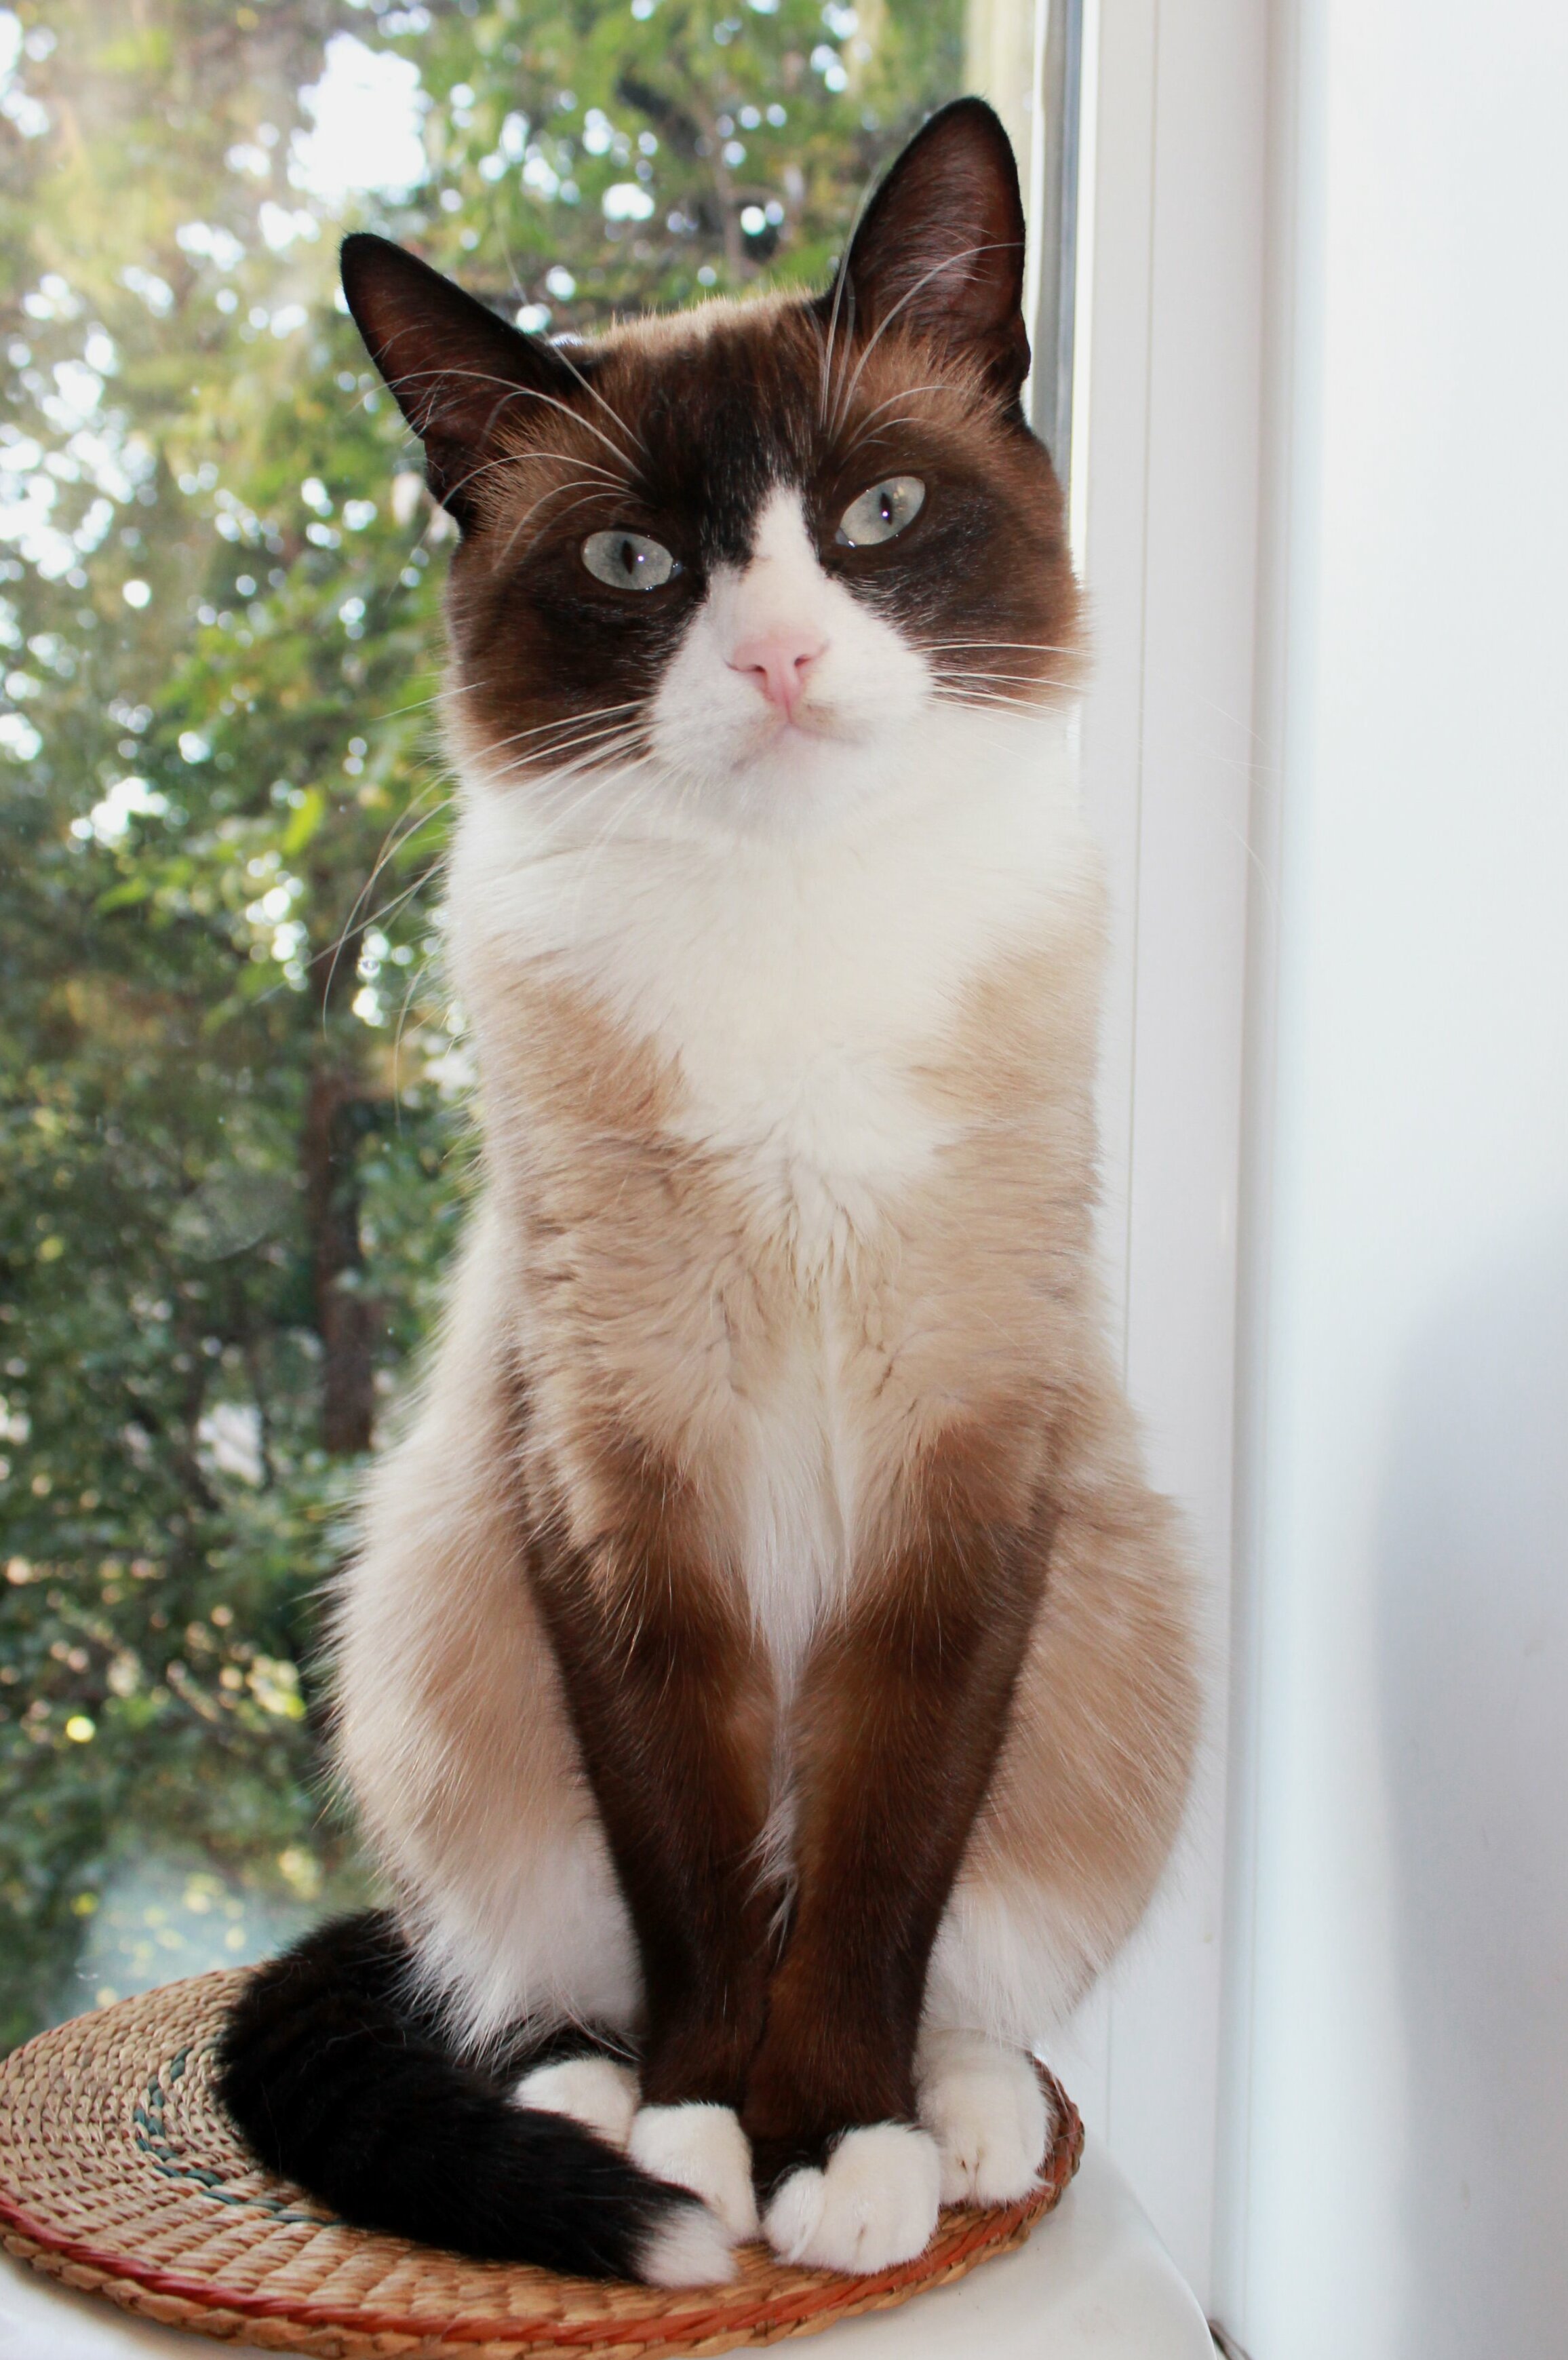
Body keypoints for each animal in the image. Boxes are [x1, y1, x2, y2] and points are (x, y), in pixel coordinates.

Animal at [214, 96, 1193, 2284]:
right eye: (634, 562)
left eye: (879, 511)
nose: (776, 656)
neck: (789, 931)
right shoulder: (610, 1474)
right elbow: (685, 1860)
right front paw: (708, 2131)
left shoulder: (966, 1472)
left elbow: (883, 1870)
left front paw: (836, 2145)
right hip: (435, 1613)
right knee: (514, 1975)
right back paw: (606, 2110)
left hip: (1113, 1611)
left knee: (973, 1962)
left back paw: (962, 2122)